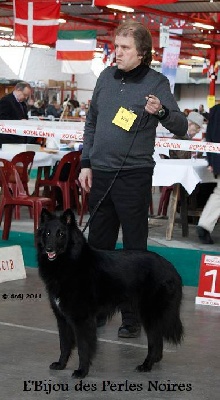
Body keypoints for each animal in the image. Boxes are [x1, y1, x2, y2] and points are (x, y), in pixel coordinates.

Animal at [37, 209, 183, 378]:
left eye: (61, 234)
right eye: (47, 233)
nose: (49, 249)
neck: (71, 262)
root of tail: (171, 268)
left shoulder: (82, 320)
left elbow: (83, 347)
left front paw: (82, 371)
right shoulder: (62, 318)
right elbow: (64, 344)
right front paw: (61, 365)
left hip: (149, 315)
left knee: (155, 341)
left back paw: (146, 365)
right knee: (158, 342)